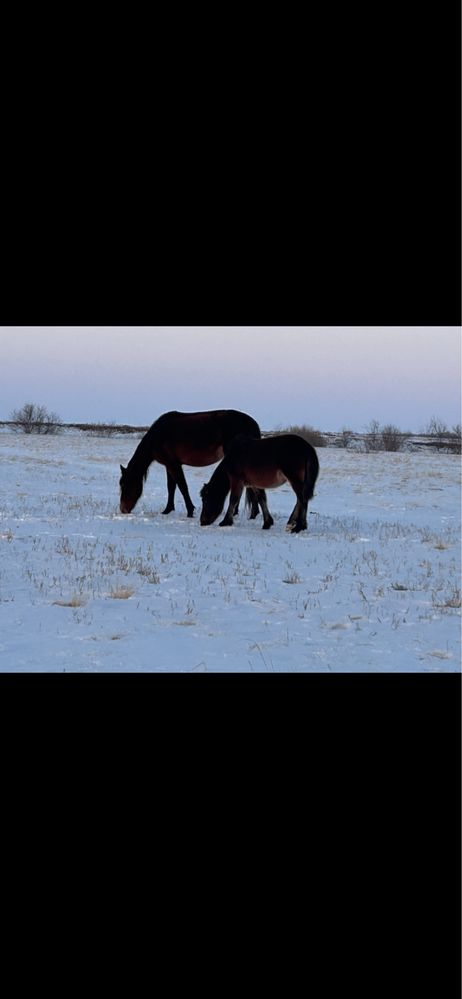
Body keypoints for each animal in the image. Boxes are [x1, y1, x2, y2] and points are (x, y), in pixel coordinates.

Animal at [119, 408, 266, 520]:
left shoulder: (174, 465)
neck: (157, 436)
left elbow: (182, 486)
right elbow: (171, 487)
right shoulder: (169, 465)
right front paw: (167, 510)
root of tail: (252, 423)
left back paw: (250, 514)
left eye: (125, 485)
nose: (123, 509)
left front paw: (190, 511)